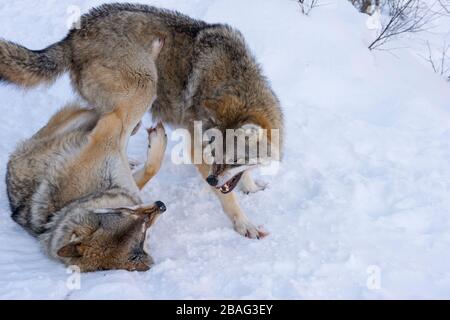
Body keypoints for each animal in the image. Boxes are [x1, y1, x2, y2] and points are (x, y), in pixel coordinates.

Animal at [0, 1, 284, 238]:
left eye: (233, 160)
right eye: (214, 155)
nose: (211, 181)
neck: (237, 84)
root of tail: (71, 37)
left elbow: (243, 176)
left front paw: (250, 187)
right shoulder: (196, 147)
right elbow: (228, 199)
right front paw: (244, 224)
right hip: (144, 87)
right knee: (114, 137)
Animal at [5, 38, 167, 272]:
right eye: (126, 214)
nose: (161, 205)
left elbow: (148, 168)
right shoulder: (111, 129)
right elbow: (127, 116)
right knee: (127, 98)